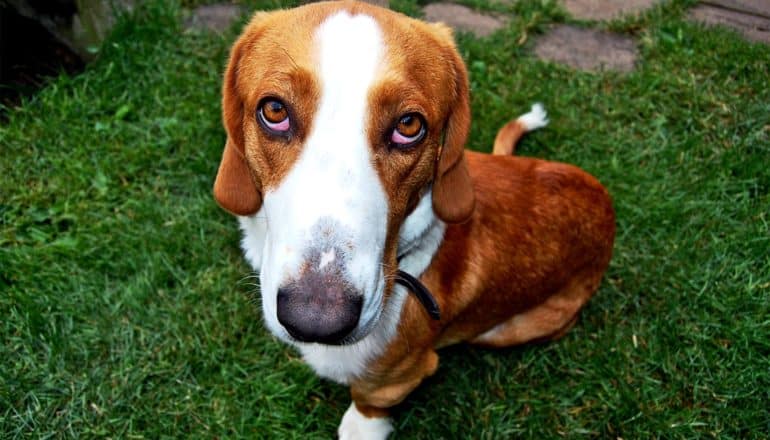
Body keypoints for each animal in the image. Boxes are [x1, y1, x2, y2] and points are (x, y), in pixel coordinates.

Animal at [213, 1, 616, 438]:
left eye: (409, 125)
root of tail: (604, 199)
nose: (316, 319)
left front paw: (361, 425)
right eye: (274, 111)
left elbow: (368, 402)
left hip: (511, 329)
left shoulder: (398, 378)